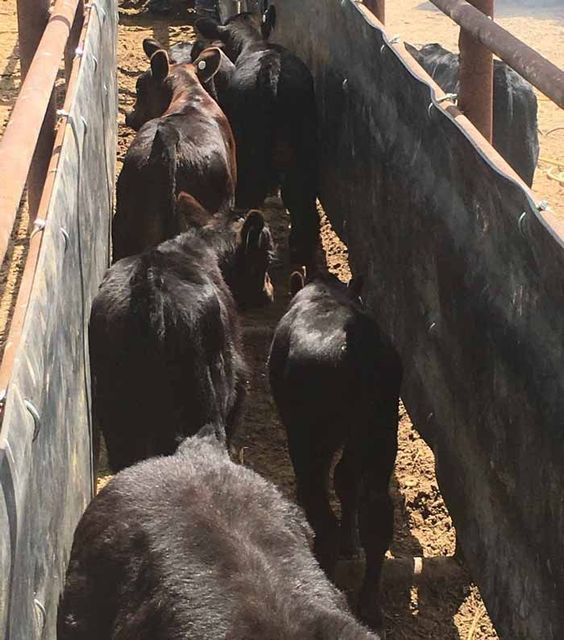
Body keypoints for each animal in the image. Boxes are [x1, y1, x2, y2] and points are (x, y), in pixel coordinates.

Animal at [268, 270, 402, 634]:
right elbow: (347, 483)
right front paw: (349, 544)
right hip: (382, 431)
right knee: (376, 512)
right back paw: (369, 605)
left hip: (311, 437)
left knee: (320, 507)